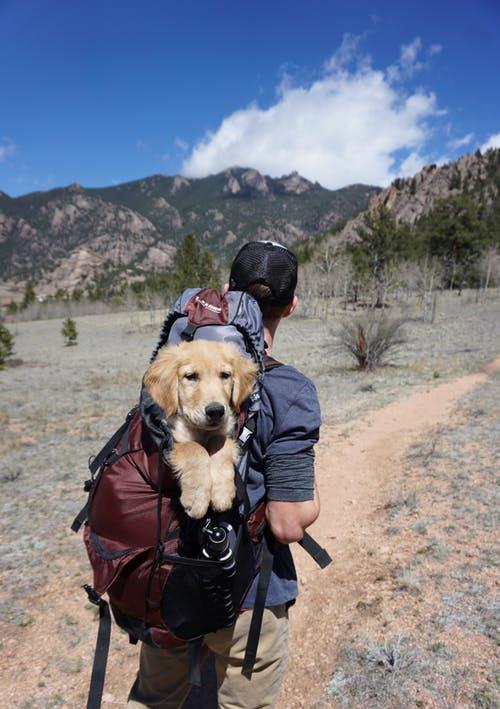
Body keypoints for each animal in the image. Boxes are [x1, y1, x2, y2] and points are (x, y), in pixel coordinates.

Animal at [143, 340, 256, 516]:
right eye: (191, 376)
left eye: (225, 375)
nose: (216, 411)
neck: (202, 431)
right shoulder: (172, 439)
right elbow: (194, 448)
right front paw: (197, 500)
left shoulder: (225, 433)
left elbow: (220, 442)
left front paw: (222, 493)